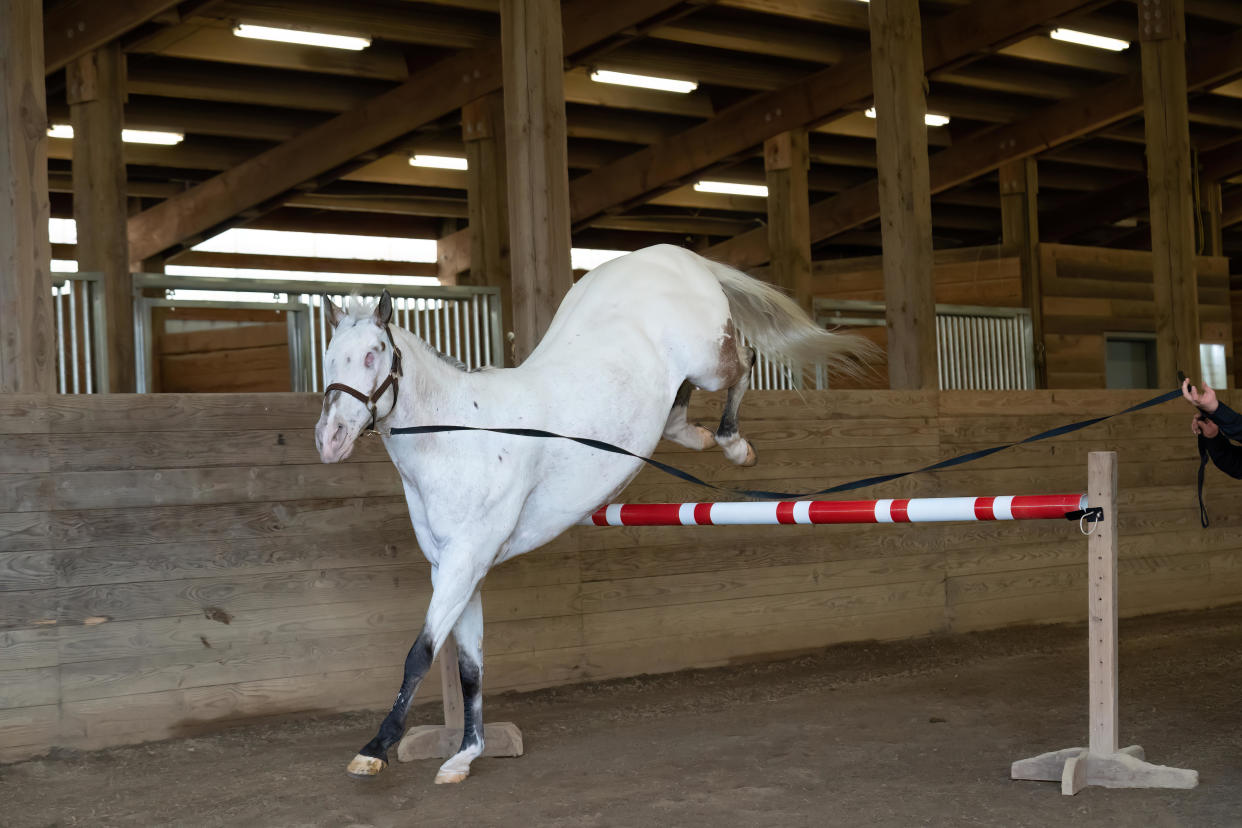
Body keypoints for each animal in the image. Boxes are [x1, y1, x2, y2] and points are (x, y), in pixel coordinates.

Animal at [315, 243, 869, 779]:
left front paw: (375, 750)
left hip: (710, 361)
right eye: (330, 358)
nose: (330, 439)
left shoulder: (465, 562)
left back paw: (735, 446)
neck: (461, 435)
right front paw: (464, 755)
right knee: (676, 414)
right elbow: (470, 667)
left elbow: (421, 654)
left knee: (746, 361)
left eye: (373, 355)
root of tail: (673, 253)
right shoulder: (455, 568)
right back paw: (704, 438)